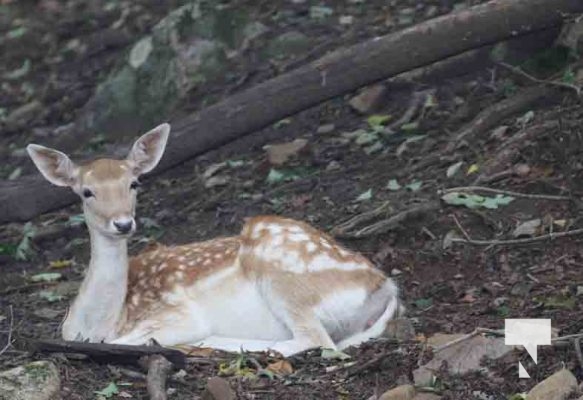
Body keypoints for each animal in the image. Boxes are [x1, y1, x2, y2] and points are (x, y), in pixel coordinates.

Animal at [26, 123, 402, 354]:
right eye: (86, 191)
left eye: (134, 183)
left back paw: (210, 342)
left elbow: (122, 343)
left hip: (283, 275)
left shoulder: (178, 314)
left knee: (314, 339)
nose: (122, 223)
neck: (101, 321)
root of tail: (386, 286)